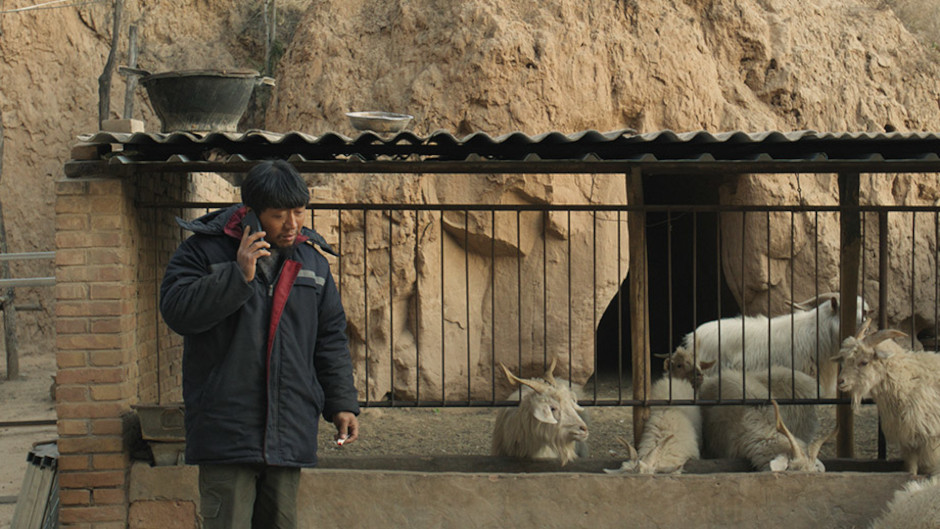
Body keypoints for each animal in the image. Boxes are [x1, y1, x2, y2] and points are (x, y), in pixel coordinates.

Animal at [828, 322, 940, 474]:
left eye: (864, 362)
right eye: (844, 360)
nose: (841, 381)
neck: (909, 379)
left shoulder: (931, 439)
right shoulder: (908, 441)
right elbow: (911, 470)